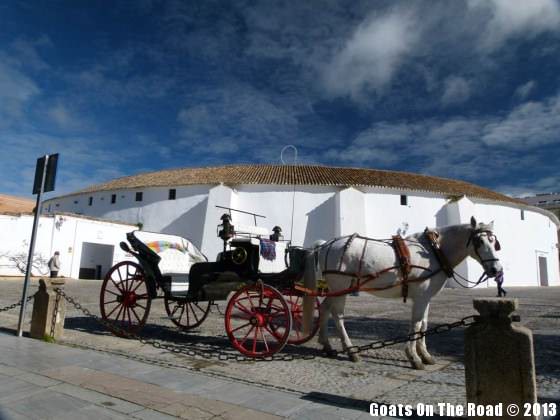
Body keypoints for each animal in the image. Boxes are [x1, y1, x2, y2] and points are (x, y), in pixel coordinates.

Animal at [304, 218, 506, 370]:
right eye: (479, 241)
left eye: (493, 242)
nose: (496, 269)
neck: (434, 251)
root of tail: (325, 245)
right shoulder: (421, 297)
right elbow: (416, 324)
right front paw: (414, 357)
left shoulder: (426, 298)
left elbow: (424, 324)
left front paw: (425, 355)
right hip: (341, 287)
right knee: (338, 315)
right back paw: (351, 350)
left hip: (335, 289)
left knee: (325, 309)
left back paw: (327, 345)